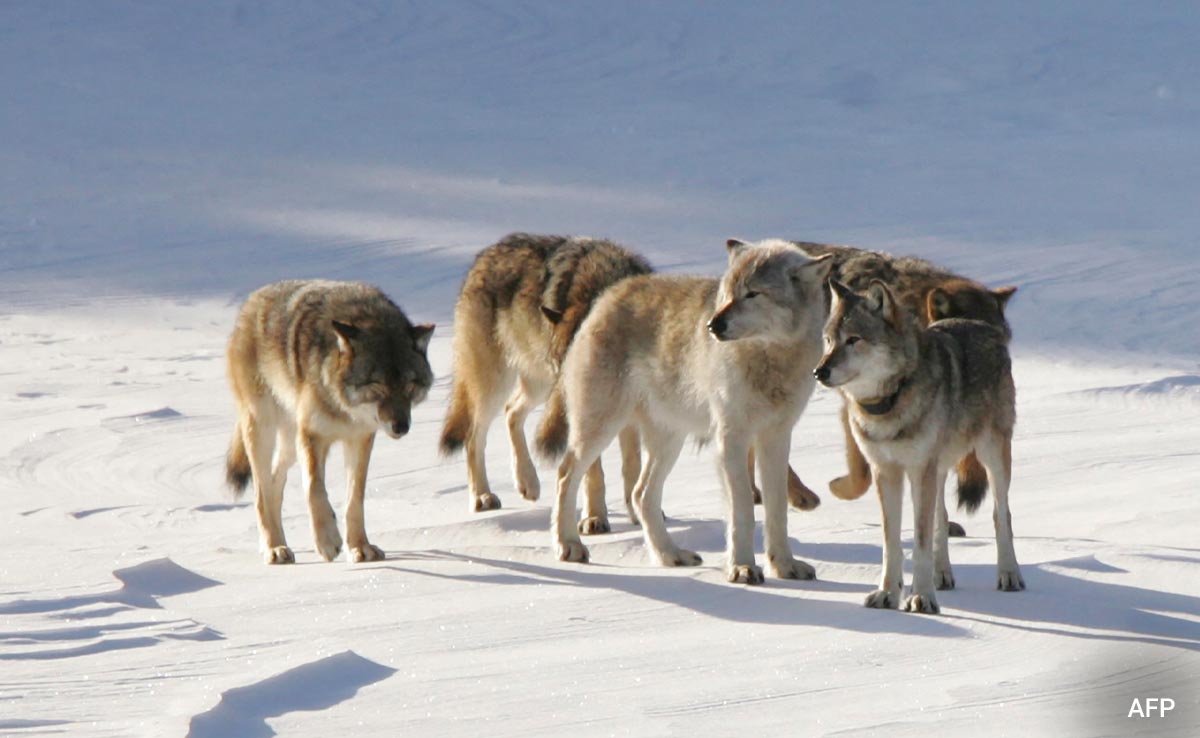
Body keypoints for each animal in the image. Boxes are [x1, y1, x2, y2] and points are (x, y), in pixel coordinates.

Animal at [225, 280, 434, 564]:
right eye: (377, 385)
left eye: (409, 385)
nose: (401, 427)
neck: (345, 408)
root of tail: (252, 300)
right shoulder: (312, 436)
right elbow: (314, 488)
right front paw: (327, 541)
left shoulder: (360, 439)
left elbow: (355, 499)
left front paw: (359, 547)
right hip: (263, 430)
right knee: (260, 493)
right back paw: (274, 548)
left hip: (289, 443)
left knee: (274, 481)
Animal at [439, 233, 650, 526]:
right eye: (564, 364)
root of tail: (483, 256)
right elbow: (593, 471)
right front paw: (595, 518)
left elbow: (632, 464)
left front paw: (638, 513)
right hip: (497, 384)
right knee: (473, 434)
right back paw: (483, 496)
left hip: (538, 385)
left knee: (511, 412)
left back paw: (527, 482)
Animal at [537, 239, 832, 584]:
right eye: (727, 293)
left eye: (753, 293)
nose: (713, 325)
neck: (769, 359)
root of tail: (607, 295)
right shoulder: (731, 439)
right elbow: (743, 510)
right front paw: (742, 568)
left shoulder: (776, 437)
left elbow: (777, 511)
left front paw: (784, 565)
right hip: (601, 429)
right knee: (565, 475)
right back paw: (569, 545)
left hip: (669, 441)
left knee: (640, 494)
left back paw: (670, 555)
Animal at [814, 279, 1023, 613]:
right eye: (829, 340)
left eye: (854, 339)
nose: (819, 372)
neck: (890, 401)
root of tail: (979, 324)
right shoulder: (886, 471)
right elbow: (892, 542)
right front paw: (888, 593)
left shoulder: (919, 469)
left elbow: (920, 541)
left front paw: (921, 597)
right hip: (937, 470)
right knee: (942, 517)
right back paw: (942, 576)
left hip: (991, 456)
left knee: (1001, 515)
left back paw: (1009, 575)